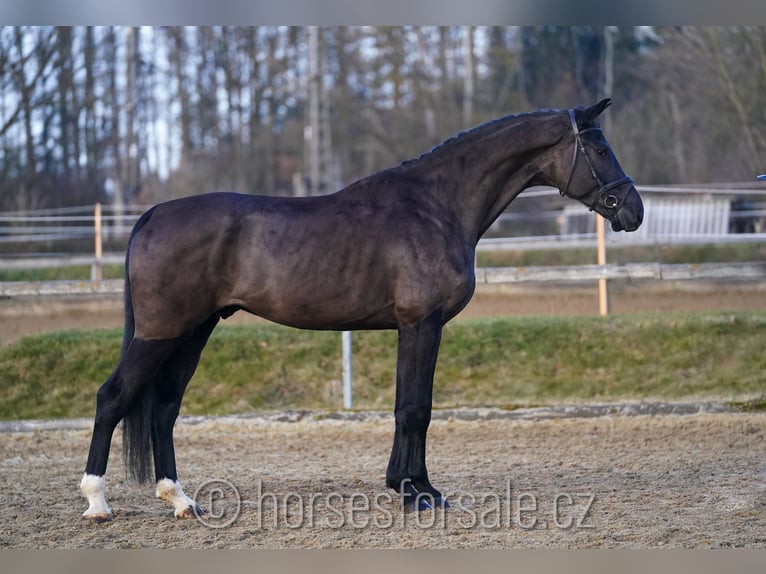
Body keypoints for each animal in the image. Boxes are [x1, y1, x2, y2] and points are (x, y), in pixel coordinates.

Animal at [79, 99, 640, 520]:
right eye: (599, 146)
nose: (633, 210)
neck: (435, 207)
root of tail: (153, 214)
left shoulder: (413, 328)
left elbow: (410, 406)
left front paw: (414, 487)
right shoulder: (421, 324)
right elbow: (414, 409)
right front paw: (417, 494)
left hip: (193, 332)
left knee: (164, 407)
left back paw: (181, 500)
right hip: (160, 333)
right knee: (112, 397)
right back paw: (97, 502)